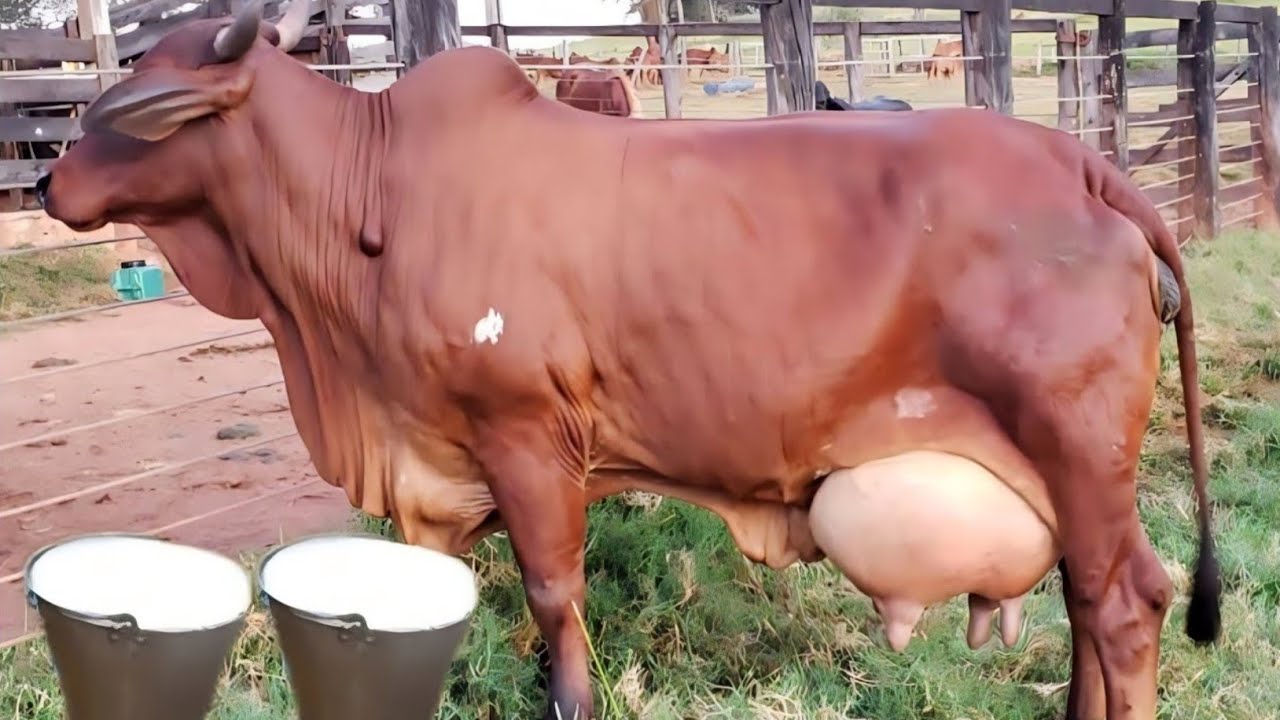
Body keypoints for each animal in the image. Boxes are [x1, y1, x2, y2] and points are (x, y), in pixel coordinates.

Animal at [36, 1, 1222, 718]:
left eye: (138, 108)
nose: (48, 180)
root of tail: (1084, 170)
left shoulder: (524, 435)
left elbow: (553, 592)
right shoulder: (433, 465)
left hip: (1075, 447)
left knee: (1125, 605)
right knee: (1089, 602)